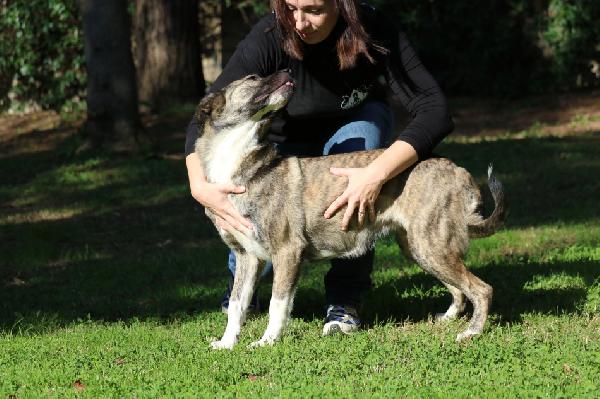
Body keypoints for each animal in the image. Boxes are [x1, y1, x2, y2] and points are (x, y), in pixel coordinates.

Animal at [195, 72, 504, 350]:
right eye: (253, 78)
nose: (287, 71)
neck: (237, 160)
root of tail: (459, 171)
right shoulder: (247, 257)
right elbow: (237, 306)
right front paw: (227, 343)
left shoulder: (287, 251)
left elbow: (277, 304)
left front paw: (267, 342)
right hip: (420, 248)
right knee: (459, 289)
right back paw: (449, 318)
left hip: (430, 246)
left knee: (482, 289)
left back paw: (472, 332)